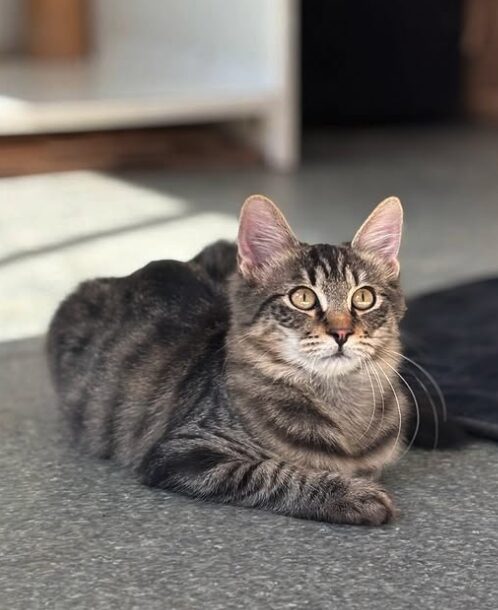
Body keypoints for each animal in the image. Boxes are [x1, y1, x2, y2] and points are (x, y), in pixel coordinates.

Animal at [49, 194, 412, 524]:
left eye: (363, 298)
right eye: (302, 298)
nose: (341, 333)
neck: (340, 400)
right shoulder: (185, 452)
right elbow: (276, 472)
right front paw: (353, 495)